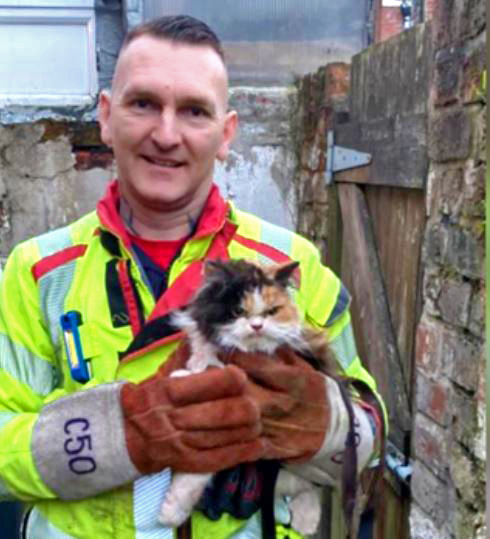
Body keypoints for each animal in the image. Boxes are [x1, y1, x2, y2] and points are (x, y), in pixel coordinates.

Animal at [159, 260, 338, 532]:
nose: (256, 326)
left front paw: (168, 514)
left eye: (272, 311)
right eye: (238, 311)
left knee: (310, 487)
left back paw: (306, 522)